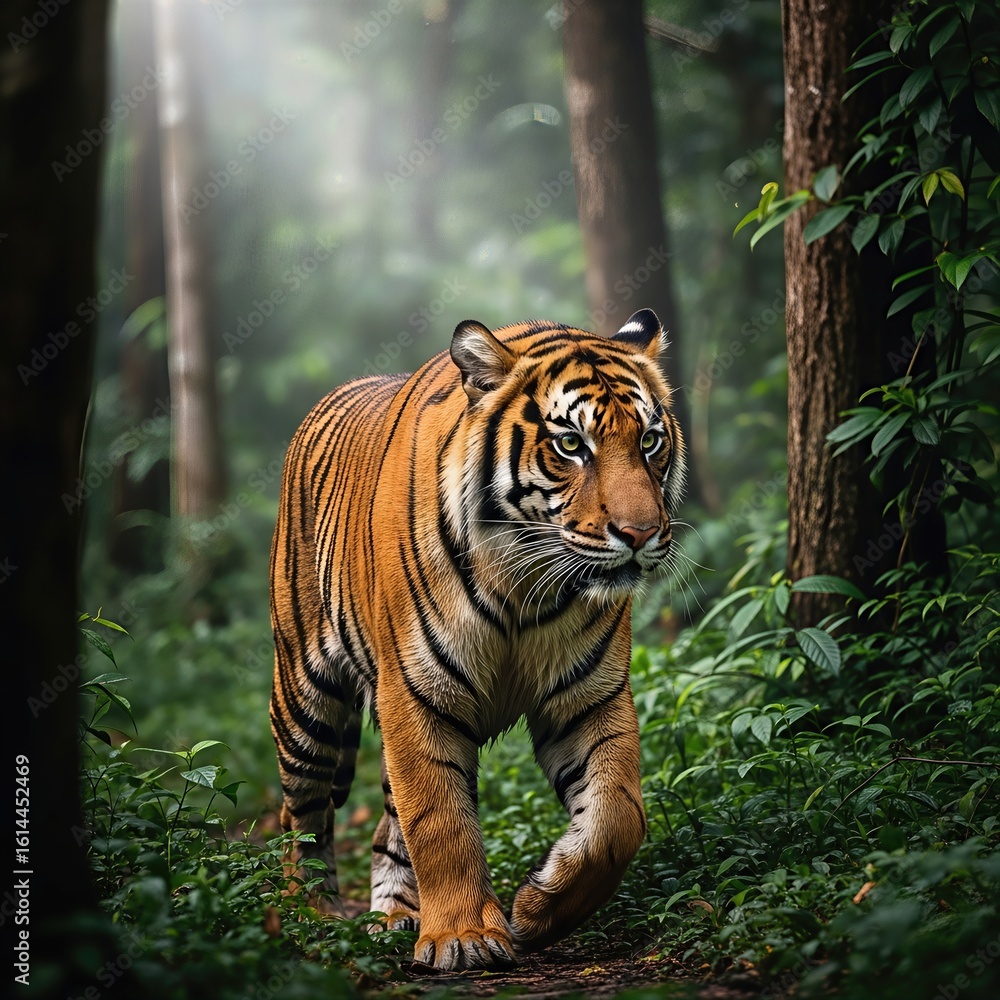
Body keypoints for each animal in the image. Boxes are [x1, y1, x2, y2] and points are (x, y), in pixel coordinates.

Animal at [269, 307, 685, 971]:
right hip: (304, 695)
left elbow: (618, 817)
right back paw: (314, 917)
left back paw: (395, 918)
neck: (525, 581)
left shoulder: (590, 697)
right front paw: (463, 937)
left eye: (648, 440)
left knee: (384, 825)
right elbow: (440, 819)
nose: (641, 534)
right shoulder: (416, 693)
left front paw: (539, 908)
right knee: (300, 812)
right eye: (572, 444)